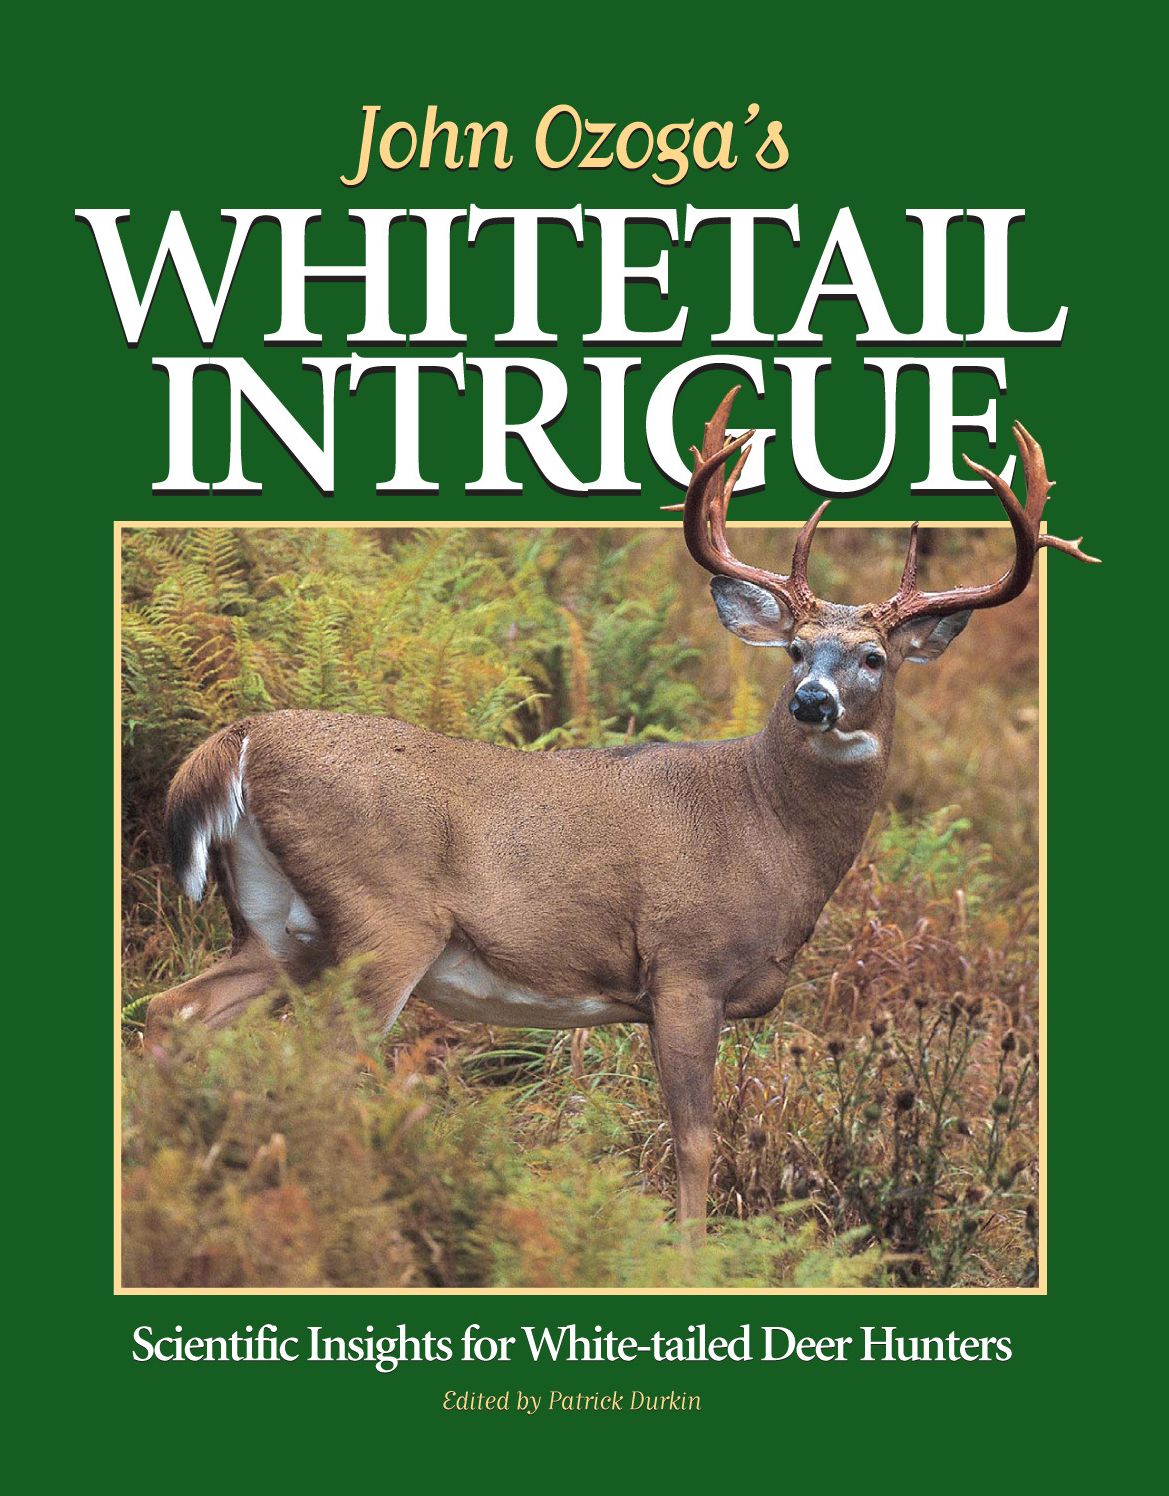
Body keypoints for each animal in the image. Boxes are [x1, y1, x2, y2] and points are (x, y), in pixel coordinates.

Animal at [140, 388, 1098, 1233]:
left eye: (872, 658)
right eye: (794, 649)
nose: (811, 702)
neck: (767, 833)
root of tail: (236, 739)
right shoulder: (684, 966)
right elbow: (695, 1143)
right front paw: (688, 1255)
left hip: (277, 926)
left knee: (173, 1010)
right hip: (383, 917)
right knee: (320, 1066)